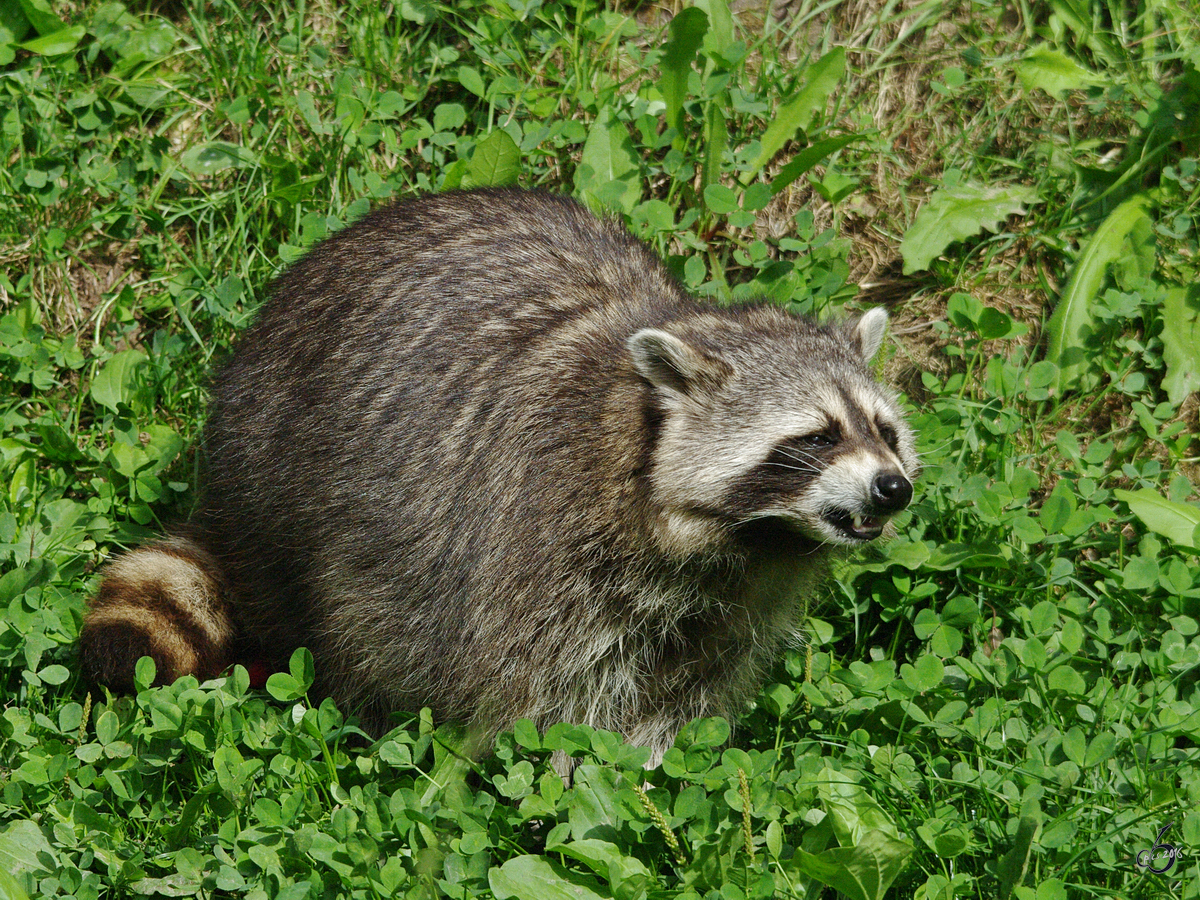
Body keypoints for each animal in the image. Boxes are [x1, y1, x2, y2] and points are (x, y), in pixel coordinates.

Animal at [79, 190, 912, 768]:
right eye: (816, 437)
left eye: (885, 431)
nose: (892, 487)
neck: (742, 543)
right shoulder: (543, 541)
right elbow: (544, 697)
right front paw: (578, 790)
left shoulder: (740, 604)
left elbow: (689, 690)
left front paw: (652, 769)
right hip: (292, 487)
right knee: (352, 619)